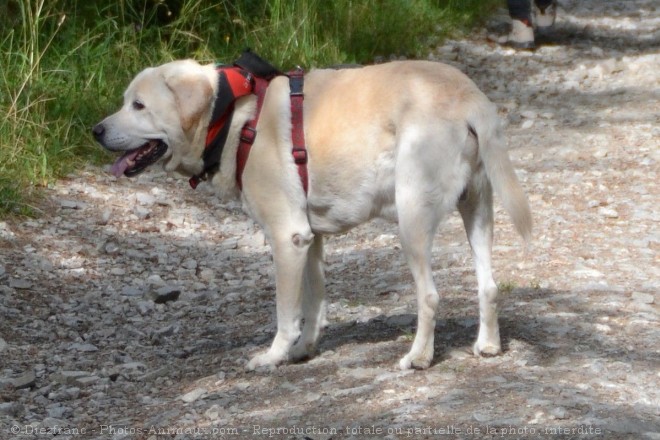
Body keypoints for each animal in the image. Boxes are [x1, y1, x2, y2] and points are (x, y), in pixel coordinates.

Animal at [93, 55, 532, 372]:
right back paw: (488, 345)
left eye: (139, 105)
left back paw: (419, 357)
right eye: (126, 101)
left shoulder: (287, 238)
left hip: (412, 222)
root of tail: (468, 95)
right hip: (477, 210)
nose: (95, 130)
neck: (234, 116)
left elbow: (287, 313)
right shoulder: (310, 239)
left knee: (429, 295)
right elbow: (314, 302)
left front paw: (274, 357)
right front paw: (305, 349)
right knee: (489, 286)